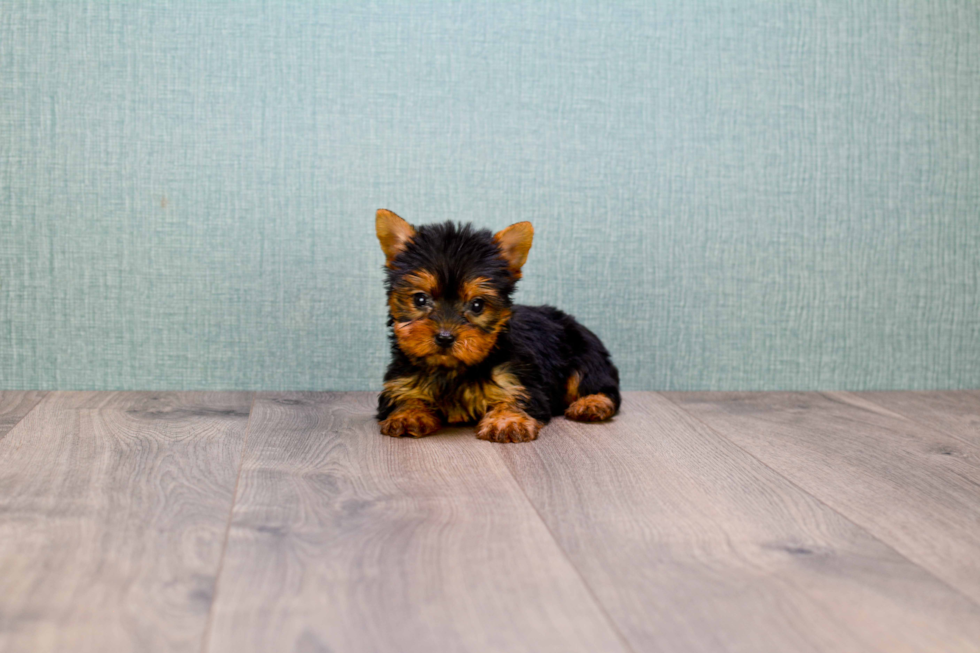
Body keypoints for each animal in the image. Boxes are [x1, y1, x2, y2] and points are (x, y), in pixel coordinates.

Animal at [376, 209, 620, 444]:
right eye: (420, 299)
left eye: (477, 305)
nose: (445, 337)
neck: (450, 371)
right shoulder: (401, 380)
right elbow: (407, 396)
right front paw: (408, 415)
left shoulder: (517, 379)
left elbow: (512, 398)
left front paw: (507, 422)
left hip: (585, 355)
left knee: (598, 385)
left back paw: (592, 403)